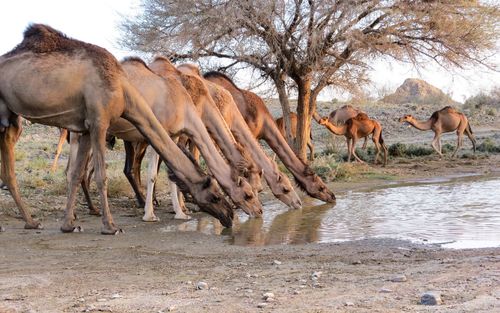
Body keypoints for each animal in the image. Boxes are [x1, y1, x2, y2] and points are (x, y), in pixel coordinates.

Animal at [0, 23, 233, 232]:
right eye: (215, 195)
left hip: (9, 120)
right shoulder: (99, 122)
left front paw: (68, 225)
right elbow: (101, 176)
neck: (123, 90)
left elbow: (76, 174)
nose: (230, 215)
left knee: (10, 172)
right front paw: (110, 226)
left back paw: (32, 223)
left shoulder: (86, 128)